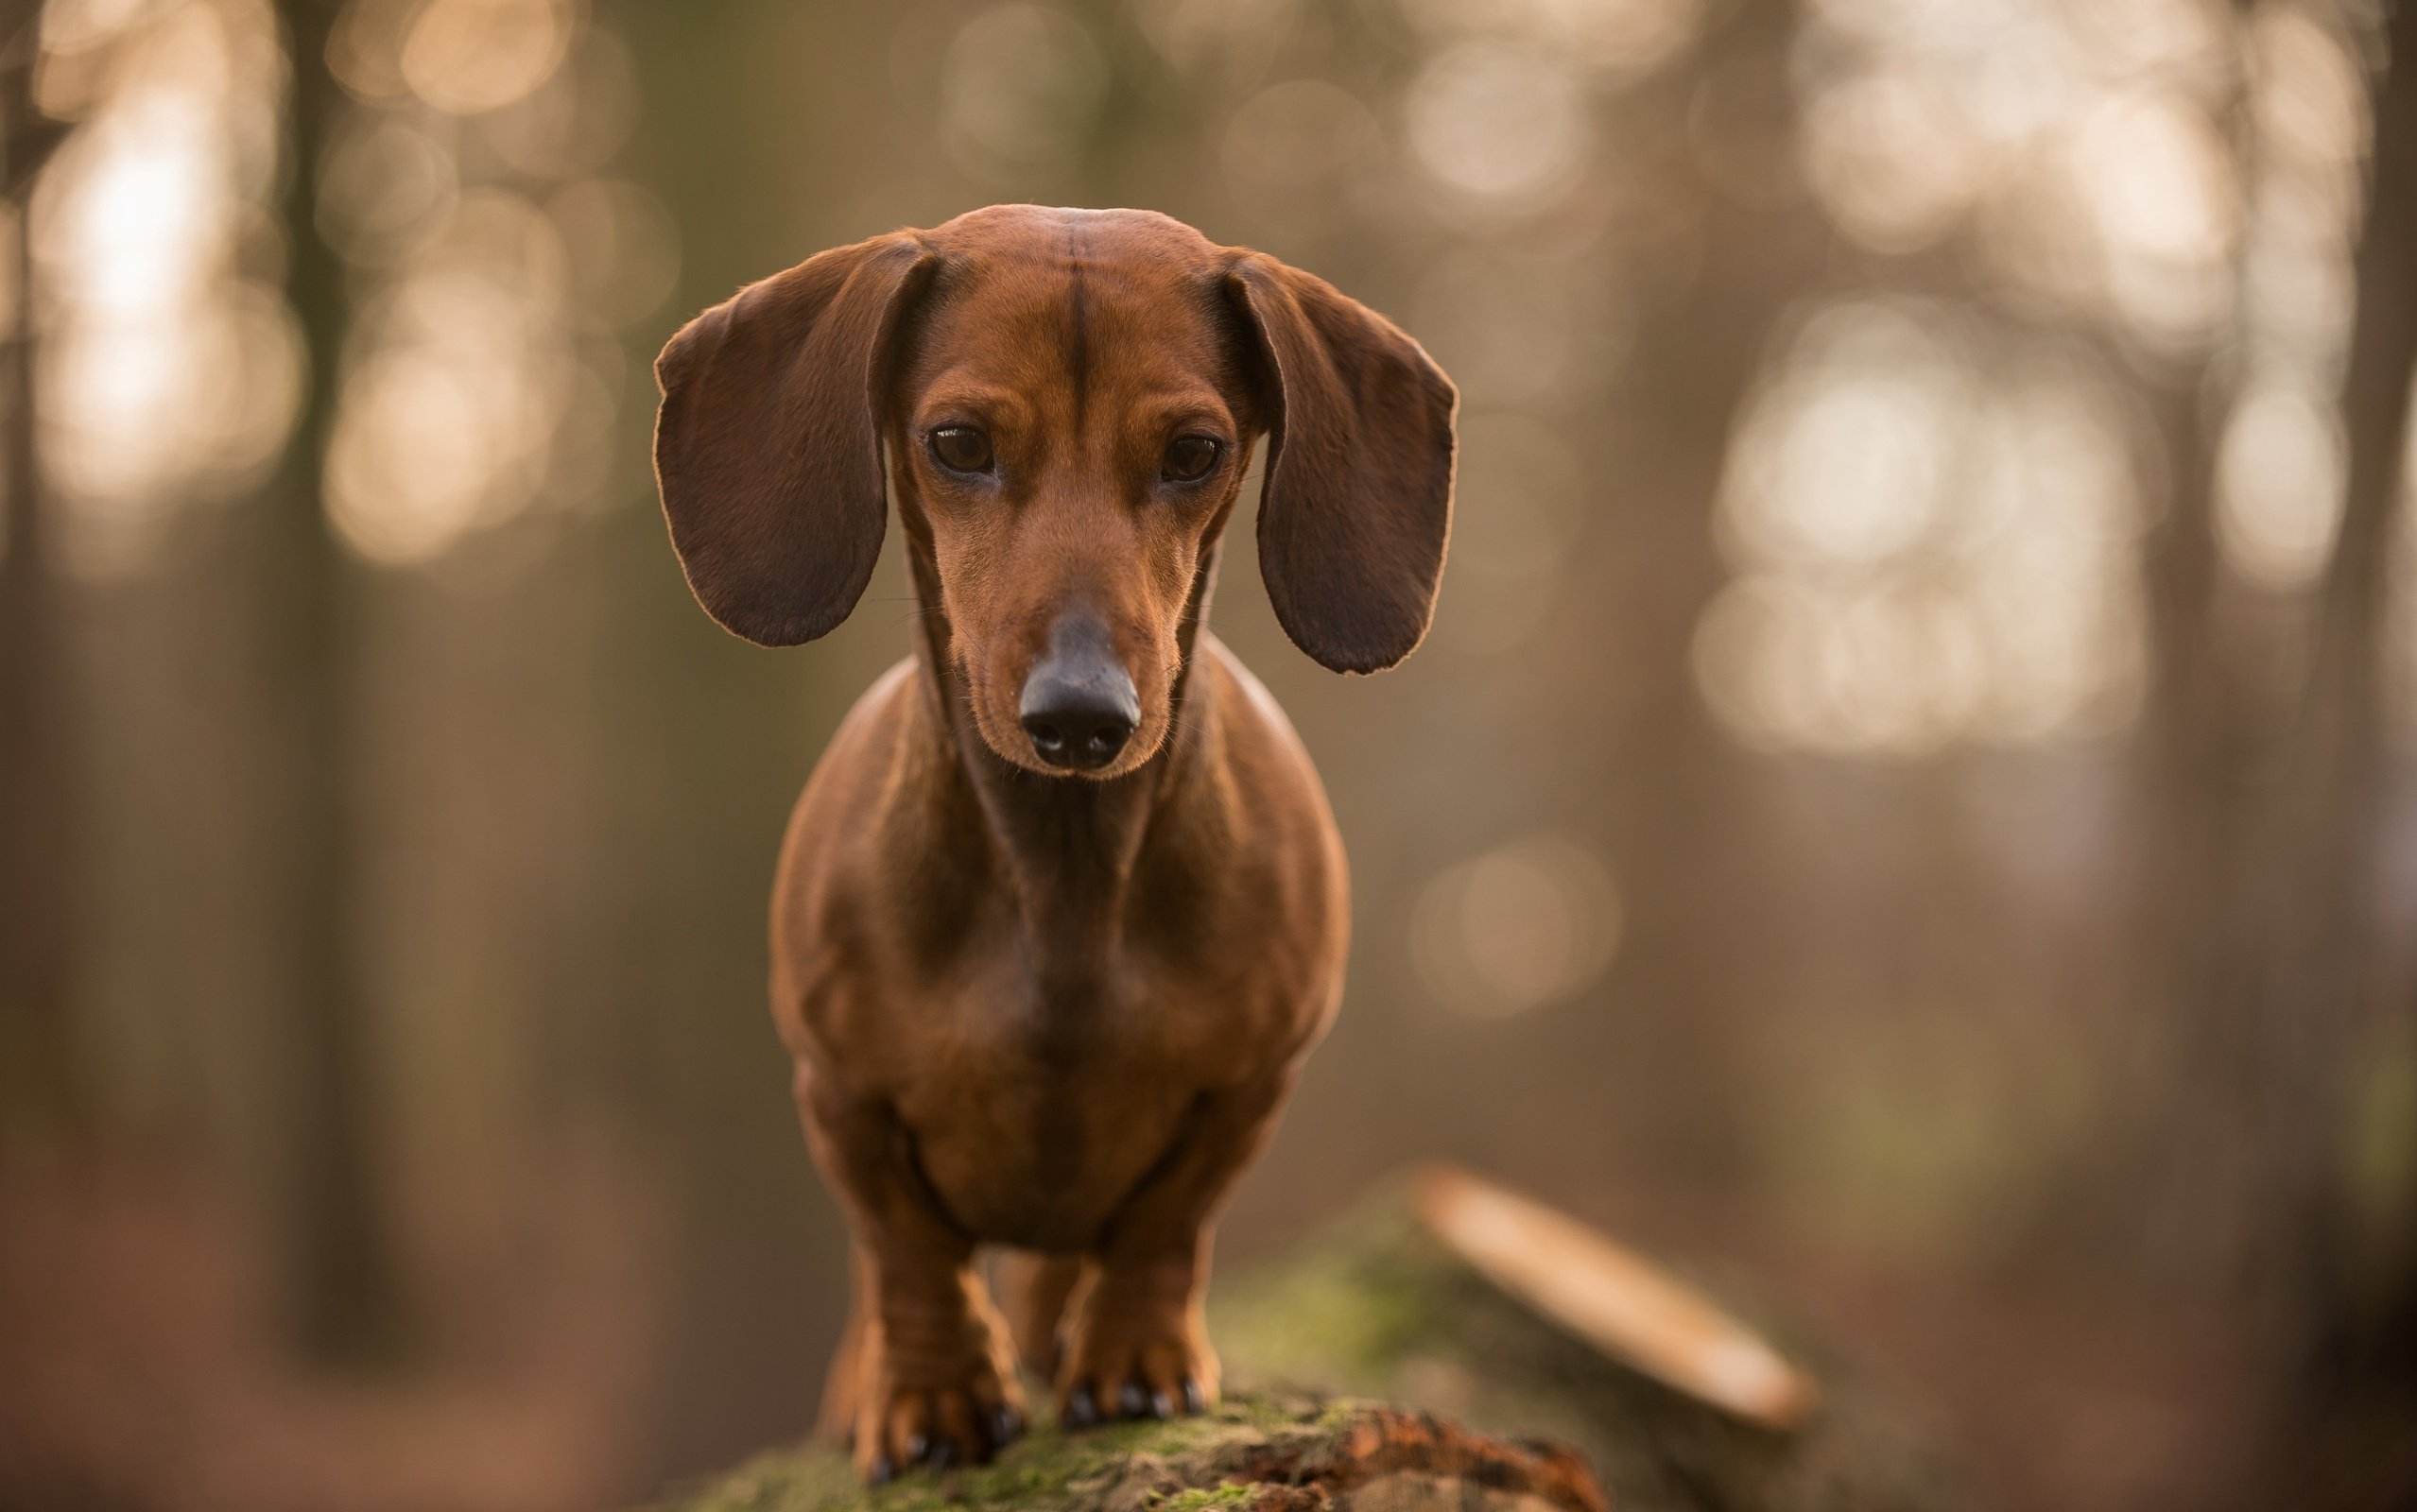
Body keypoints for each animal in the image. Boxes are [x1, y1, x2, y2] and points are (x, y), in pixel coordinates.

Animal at [652, 206, 1450, 1478]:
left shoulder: (1253, 1078)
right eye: (957, 441)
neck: (1062, 876)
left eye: (1194, 451)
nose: (1081, 717)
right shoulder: (839, 1093)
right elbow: (908, 1251)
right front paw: (931, 1394)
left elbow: (1167, 1221)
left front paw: (1133, 1356)